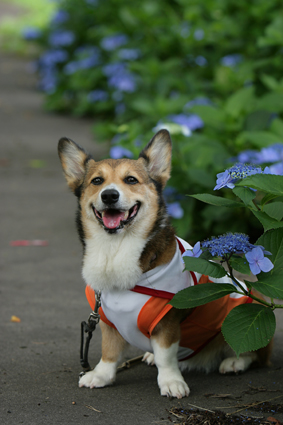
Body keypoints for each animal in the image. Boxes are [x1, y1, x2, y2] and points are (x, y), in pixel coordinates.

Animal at [58, 129, 274, 398]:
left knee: (253, 353)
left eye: (131, 180)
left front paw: (171, 382)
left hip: (246, 310)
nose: (109, 195)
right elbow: (109, 352)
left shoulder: (167, 322)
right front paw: (100, 375)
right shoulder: (107, 320)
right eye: (97, 181)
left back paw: (234, 362)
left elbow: (166, 357)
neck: (115, 250)